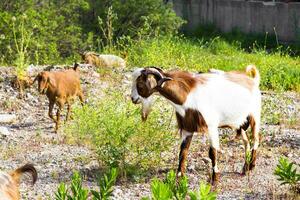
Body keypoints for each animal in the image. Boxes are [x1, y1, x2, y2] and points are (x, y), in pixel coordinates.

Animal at [130, 65, 262, 184]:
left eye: (140, 84)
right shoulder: (187, 128)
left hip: (255, 115)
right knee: (246, 142)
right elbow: (183, 152)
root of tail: (253, 81)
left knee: (256, 139)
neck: (187, 96)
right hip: (240, 123)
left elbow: (212, 152)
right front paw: (179, 177)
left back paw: (252, 166)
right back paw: (245, 168)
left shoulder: (211, 126)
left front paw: (214, 179)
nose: (133, 98)